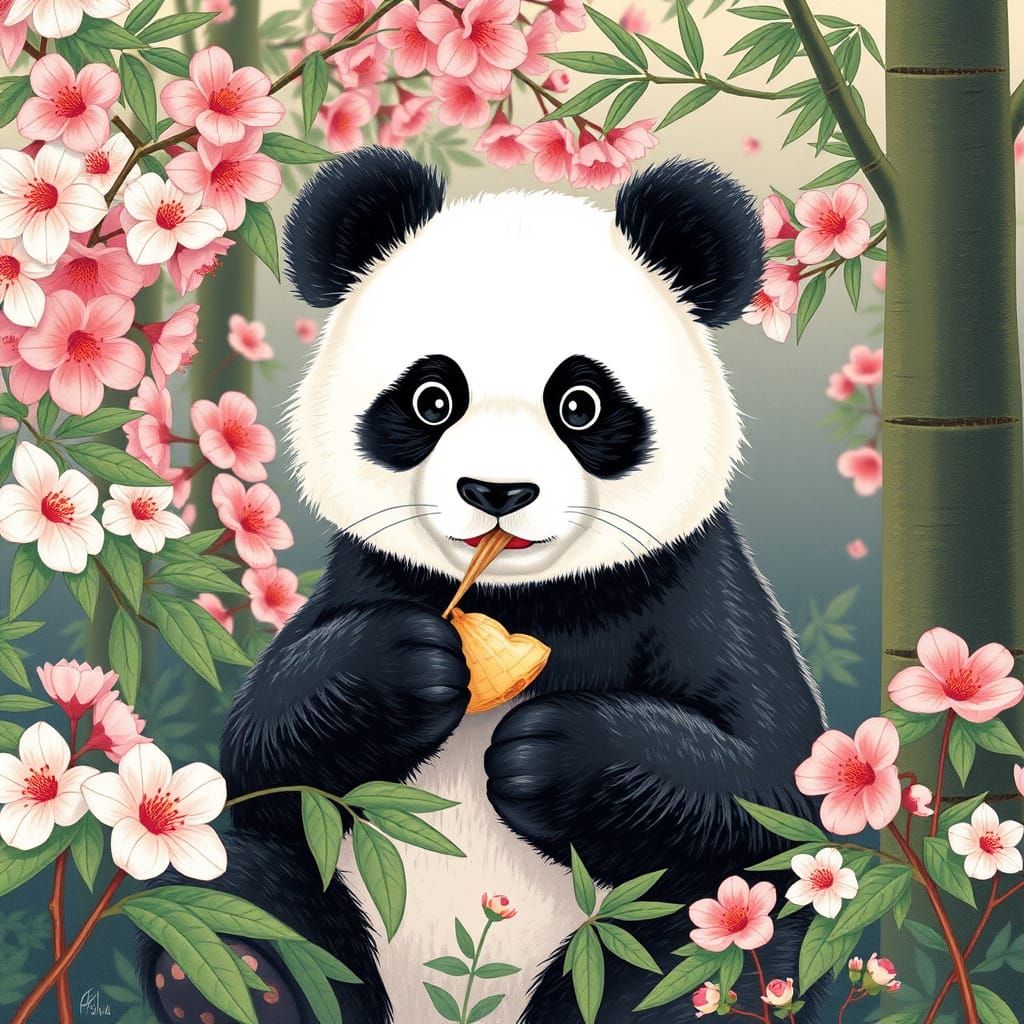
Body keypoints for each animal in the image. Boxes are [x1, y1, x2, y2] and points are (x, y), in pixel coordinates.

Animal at [141, 146, 828, 1024]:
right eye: (432, 397)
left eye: (580, 403)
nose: (497, 492)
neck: (517, 597)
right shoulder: (368, 575)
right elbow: (262, 758)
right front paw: (406, 668)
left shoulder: (692, 585)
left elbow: (773, 785)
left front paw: (547, 754)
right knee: (230, 879)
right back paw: (238, 979)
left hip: (648, 926)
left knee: (717, 937)